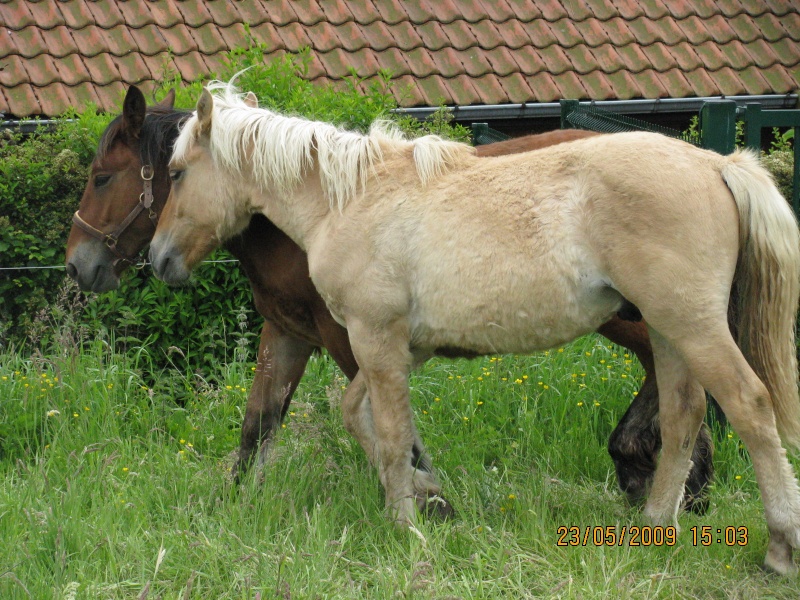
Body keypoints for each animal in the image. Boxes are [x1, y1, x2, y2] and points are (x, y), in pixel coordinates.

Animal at [64, 85, 712, 510]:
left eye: (102, 177)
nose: (78, 265)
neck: (321, 208)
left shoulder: (356, 337)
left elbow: (394, 427)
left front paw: (430, 501)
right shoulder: (289, 334)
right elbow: (258, 425)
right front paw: (231, 505)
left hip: (639, 315)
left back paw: (667, 476)